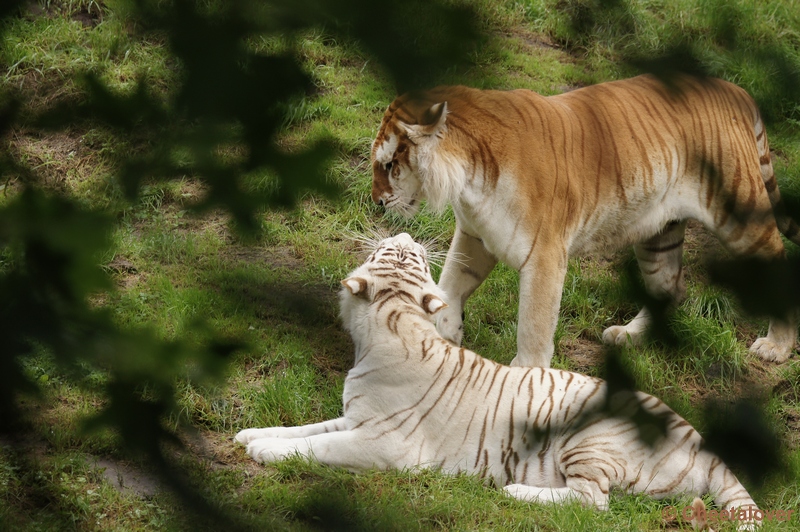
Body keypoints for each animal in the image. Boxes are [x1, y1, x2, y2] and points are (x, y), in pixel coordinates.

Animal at [234, 233, 760, 528]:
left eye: (404, 252)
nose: (405, 231)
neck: (394, 321)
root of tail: (698, 439)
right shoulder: (356, 417)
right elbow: (306, 430)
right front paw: (250, 436)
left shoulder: (384, 443)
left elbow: (319, 447)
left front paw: (263, 452)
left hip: (589, 441)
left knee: (593, 504)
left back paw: (514, 491)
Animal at [372, 74, 796, 366]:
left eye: (390, 164)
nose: (376, 202)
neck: (469, 179)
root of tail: (736, 90)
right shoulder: (475, 235)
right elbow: (449, 285)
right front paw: (446, 331)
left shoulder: (543, 256)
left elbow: (534, 325)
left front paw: (526, 374)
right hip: (658, 236)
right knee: (673, 288)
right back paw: (629, 335)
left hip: (740, 216)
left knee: (778, 261)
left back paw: (776, 346)